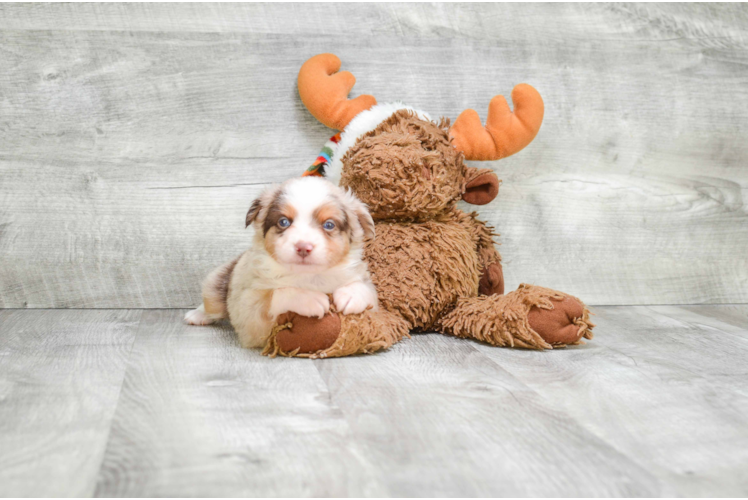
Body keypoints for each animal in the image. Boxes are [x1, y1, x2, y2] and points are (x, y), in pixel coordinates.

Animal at [184, 178, 376, 350]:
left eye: (329, 225)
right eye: (284, 222)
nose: (303, 247)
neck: (309, 277)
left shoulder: (370, 294)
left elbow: (366, 288)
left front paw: (351, 295)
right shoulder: (249, 312)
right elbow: (274, 294)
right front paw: (309, 298)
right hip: (219, 282)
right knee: (212, 302)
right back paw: (197, 315)